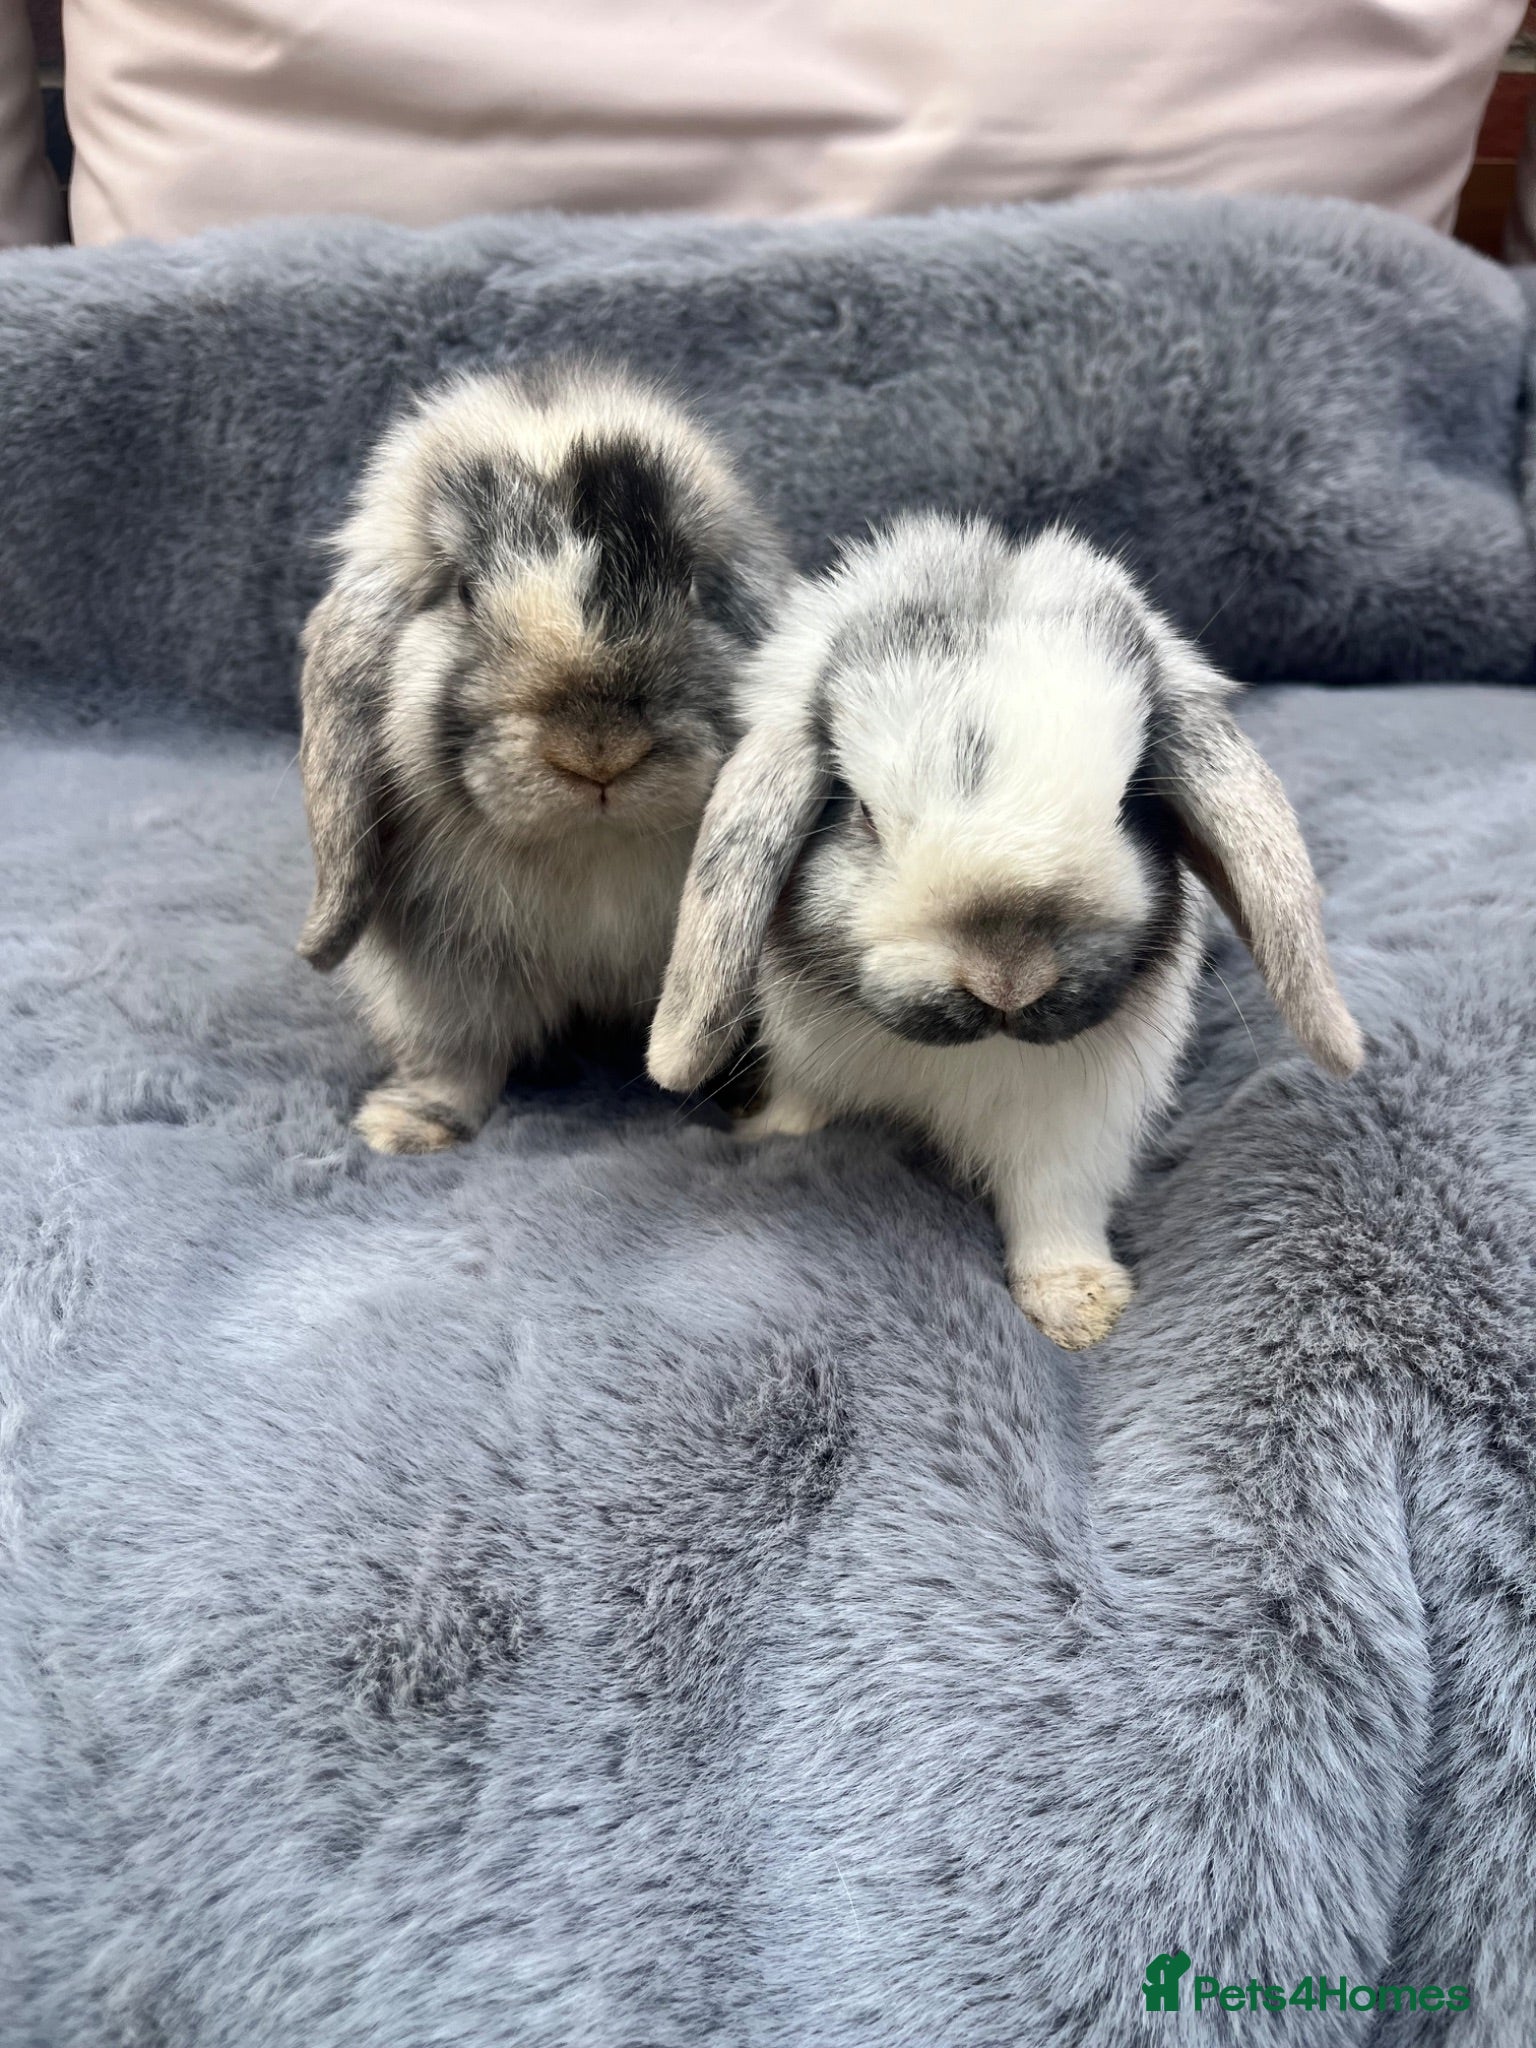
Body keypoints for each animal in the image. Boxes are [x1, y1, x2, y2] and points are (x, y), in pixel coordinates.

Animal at [297, 363, 791, 1153]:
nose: (600, 754)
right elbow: (455, 1060)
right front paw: (405, 1129)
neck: (588, 851)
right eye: (464, 591)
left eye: (690, 584)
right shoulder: (443, 982)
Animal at [647, 512, 1364, 1350]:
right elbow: (802, 1109)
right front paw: (771, 1137)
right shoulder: (808, 1061)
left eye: (1131, 803)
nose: (1009, 980)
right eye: (861, 812)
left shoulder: (1072, 1128)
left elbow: (1054, 1205)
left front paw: (1078, 1308)